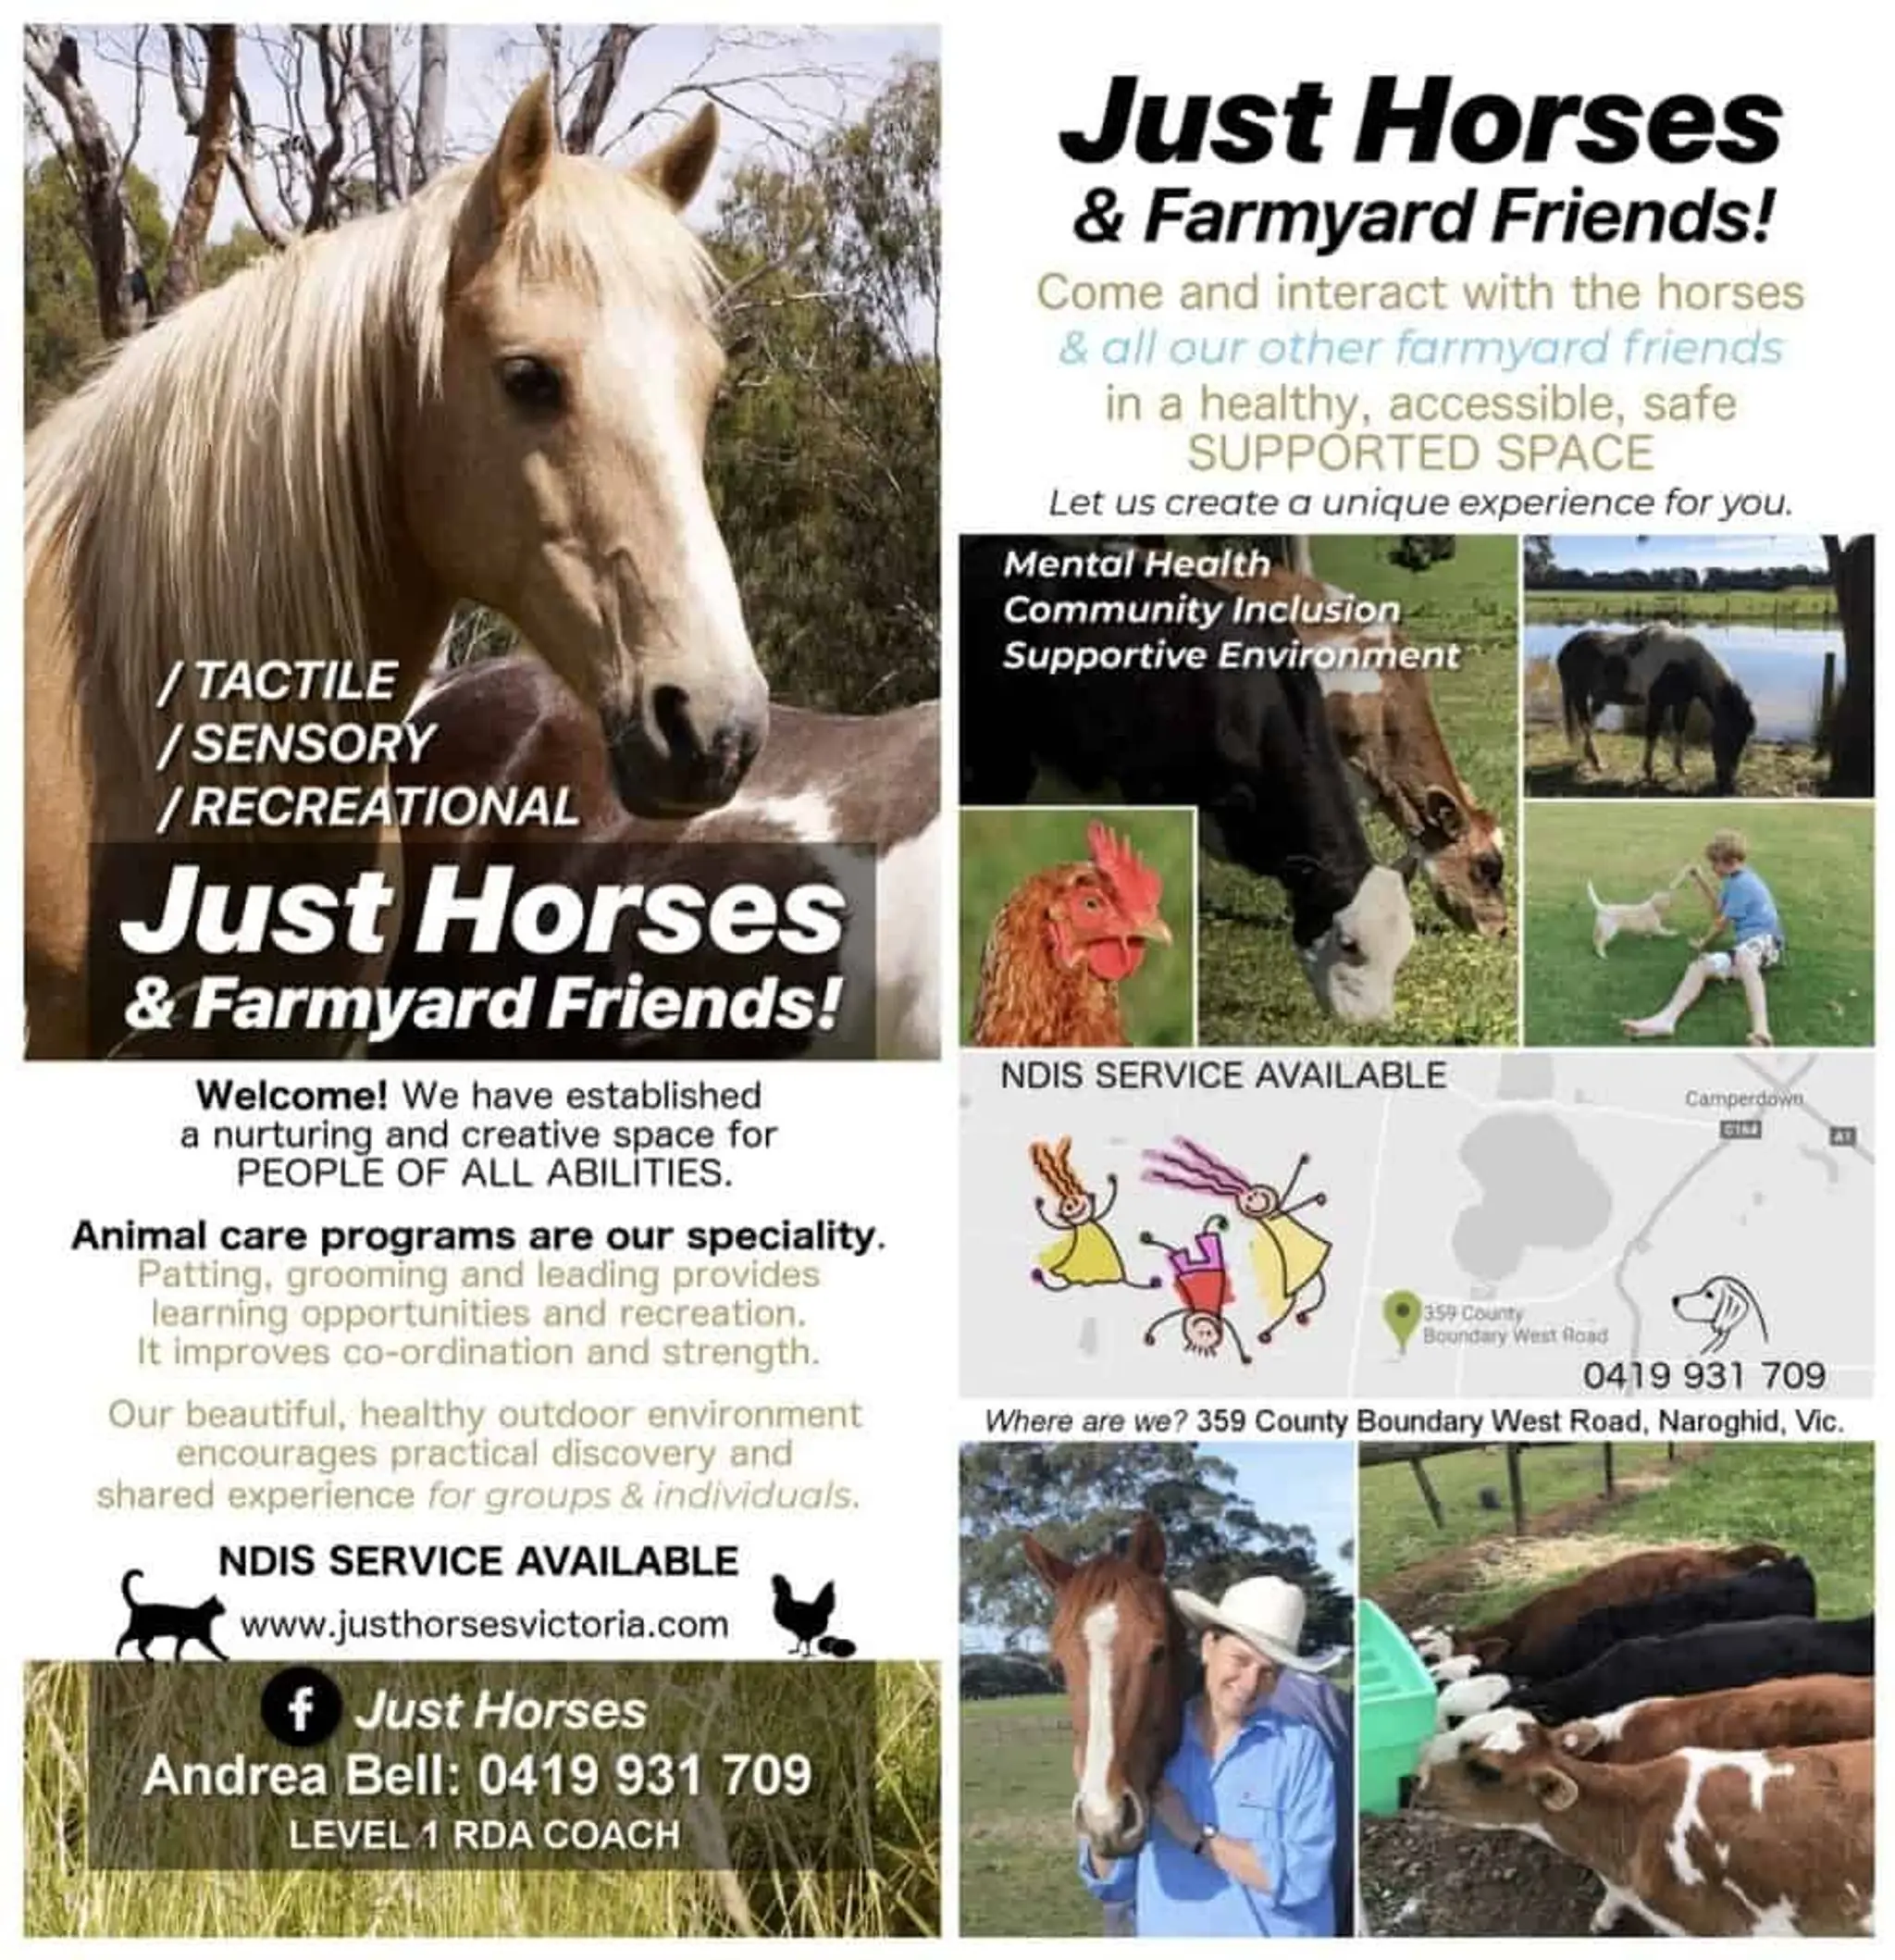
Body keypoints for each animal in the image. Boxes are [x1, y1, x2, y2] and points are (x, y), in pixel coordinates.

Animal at [1558, 624, 1757, 794]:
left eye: (1743, 740)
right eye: (1728, 737)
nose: (1728, 786)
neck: (1682, 664)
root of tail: (1567, 647)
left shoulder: (1682, 703)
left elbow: (1679, 731)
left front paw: (1680, 768)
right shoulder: (1657, 704)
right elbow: (1652, 734)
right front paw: (1649, 772)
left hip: (1598, 698)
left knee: (1589, 723)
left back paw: (1589, 758)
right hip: (1579, 693)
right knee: (1585, 724)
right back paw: (1597, 762)